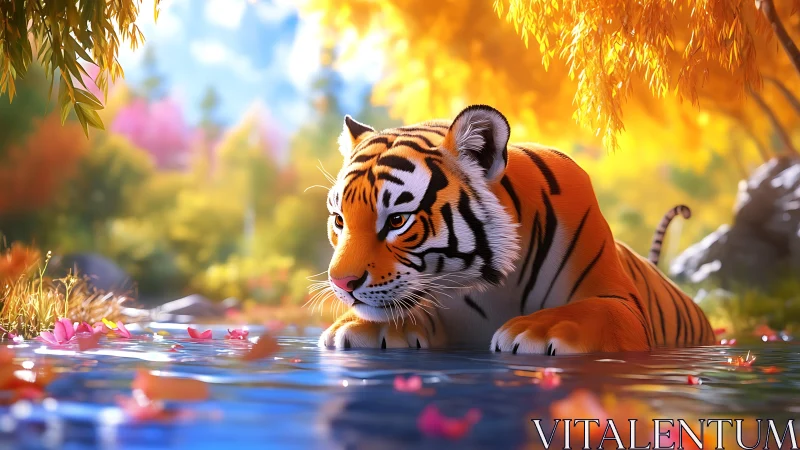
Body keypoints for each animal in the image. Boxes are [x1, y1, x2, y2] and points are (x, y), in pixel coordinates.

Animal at [317, 104, 715, 354]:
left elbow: (589, 310)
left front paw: (536, 330)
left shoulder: (621, 304)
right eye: (340, 220)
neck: (489, 286)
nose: (341, 283)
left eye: (397, 220)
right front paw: (353, 327)